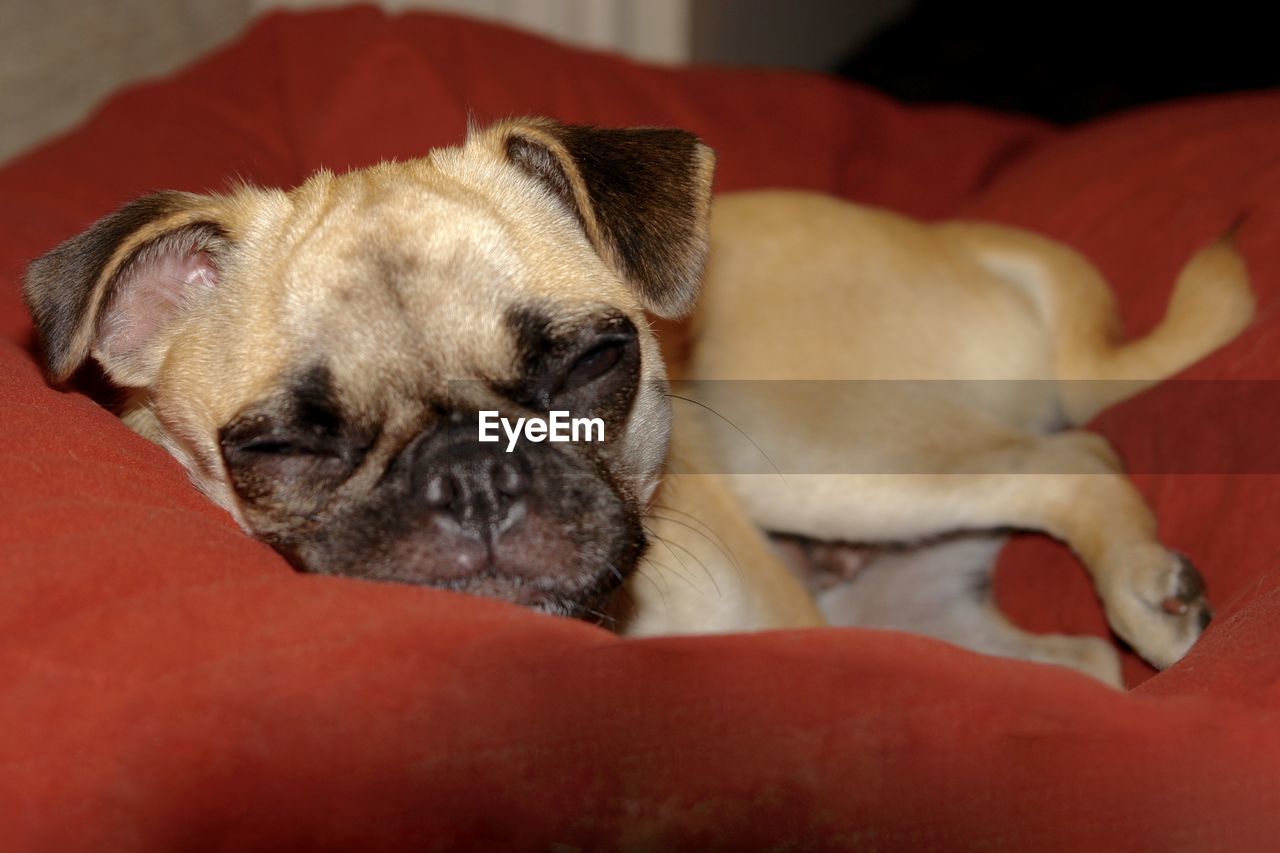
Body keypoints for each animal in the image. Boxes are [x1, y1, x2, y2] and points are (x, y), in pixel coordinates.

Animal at [24, 116, 1254, 686]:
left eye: (589, 366)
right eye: (282, 445)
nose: (473, 472)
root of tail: (964, 243)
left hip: (825, 454)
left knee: (1076, 464)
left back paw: (1150, 595)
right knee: (1063, 657)